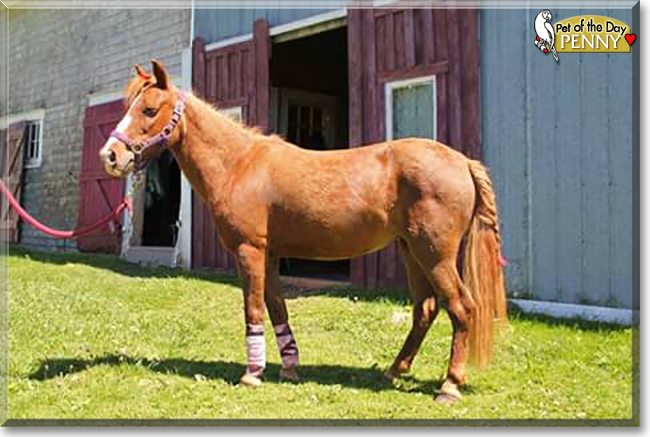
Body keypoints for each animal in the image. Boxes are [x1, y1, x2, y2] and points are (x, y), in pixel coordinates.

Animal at [100, 59, 506, 404]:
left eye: (149, 110)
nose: (110, 156)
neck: (239, 165)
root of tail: (462, 161)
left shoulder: (250, 251)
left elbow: (253, 309)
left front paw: (252, 374)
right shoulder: (271, 256)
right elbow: (277, 309)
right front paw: (289, 369)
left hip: (435, 254)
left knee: (461, 308)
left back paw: (449, 386)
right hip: (412, 251)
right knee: (426, 309)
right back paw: (394, 371)